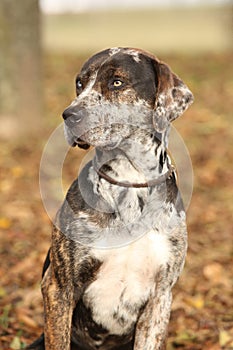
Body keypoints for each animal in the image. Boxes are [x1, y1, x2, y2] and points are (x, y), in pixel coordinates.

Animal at [28, 47, 194, 350]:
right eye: (79, 84)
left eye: (117, 82)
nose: (69, 115)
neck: (130, 182)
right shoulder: (59, 287)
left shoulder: (160, 296)